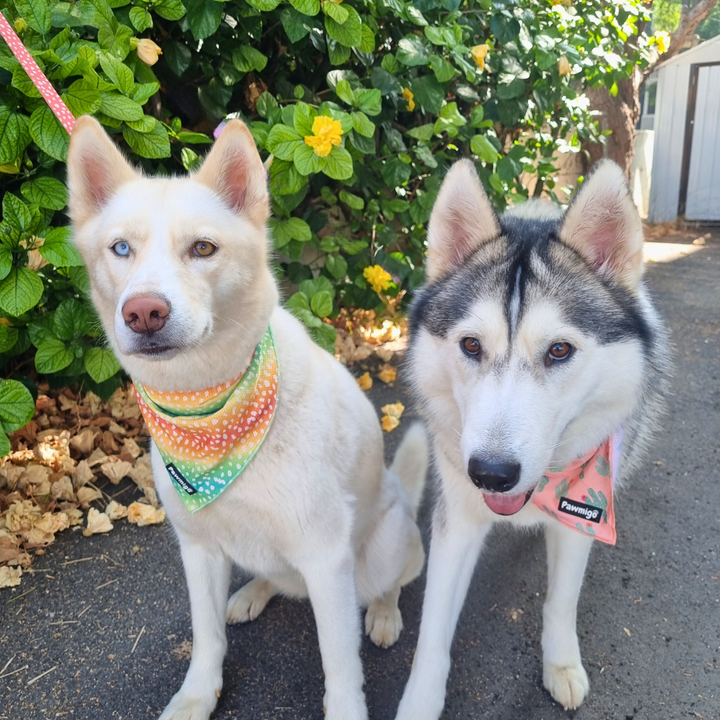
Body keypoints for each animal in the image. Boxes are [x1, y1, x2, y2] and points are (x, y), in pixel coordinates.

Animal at [66, 118, 428, 720]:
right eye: (121, 248)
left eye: (202, 248)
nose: (144, 312)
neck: (210, 412)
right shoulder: (198, 548)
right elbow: (206, 636)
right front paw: (197, 695)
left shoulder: (326, 559)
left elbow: (340, 664)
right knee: (272, 577)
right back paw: (255, 593)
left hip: (385, 547)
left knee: (390, 580)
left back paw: (383, 612)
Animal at [394, 160, 668, 716]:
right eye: (471, 345)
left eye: (559, 350)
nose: (491, 474)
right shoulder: (457, 517)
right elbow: (433, 627)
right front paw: (421, 700)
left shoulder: (584, 511)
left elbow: (561, 601)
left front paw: (560, 664)